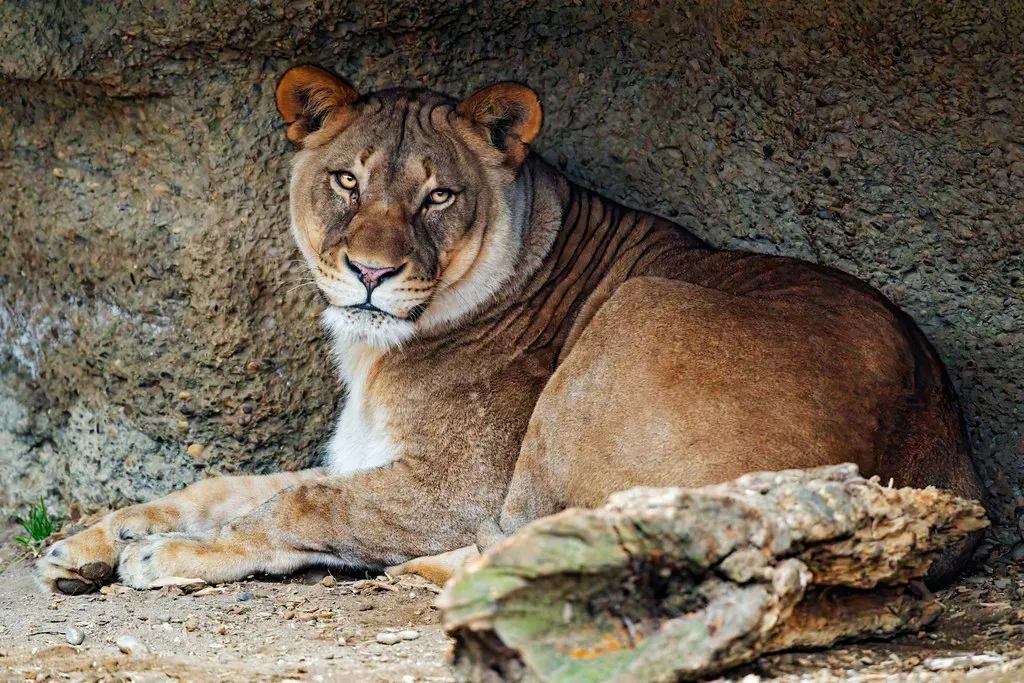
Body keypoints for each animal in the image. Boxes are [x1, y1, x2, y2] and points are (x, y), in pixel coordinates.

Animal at [37, 65, 984, 595]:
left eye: (437, 196)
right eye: (346, 180)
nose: (371, 274)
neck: (371, 354)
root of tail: (931, 469)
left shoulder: (453, 490)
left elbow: (296, 501)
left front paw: (158, 552)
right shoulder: (365, 458)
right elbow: (227, 485)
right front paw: (87, 541)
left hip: (636, 314)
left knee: (530, 541)